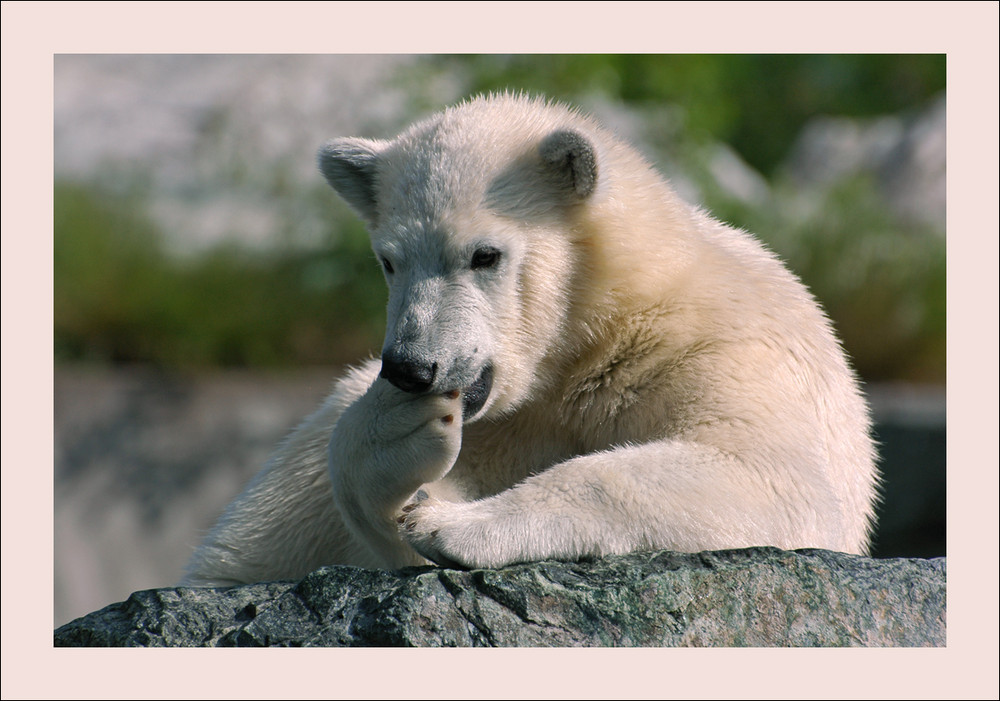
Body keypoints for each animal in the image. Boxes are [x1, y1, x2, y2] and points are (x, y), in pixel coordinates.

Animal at [184, 93, 880, 584]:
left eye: (484, 255)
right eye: (388, 260)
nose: (412, 367)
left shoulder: (722, 351)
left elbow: (765, 471)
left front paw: (450, 525)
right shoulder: (510, 418)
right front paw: (402, 440)